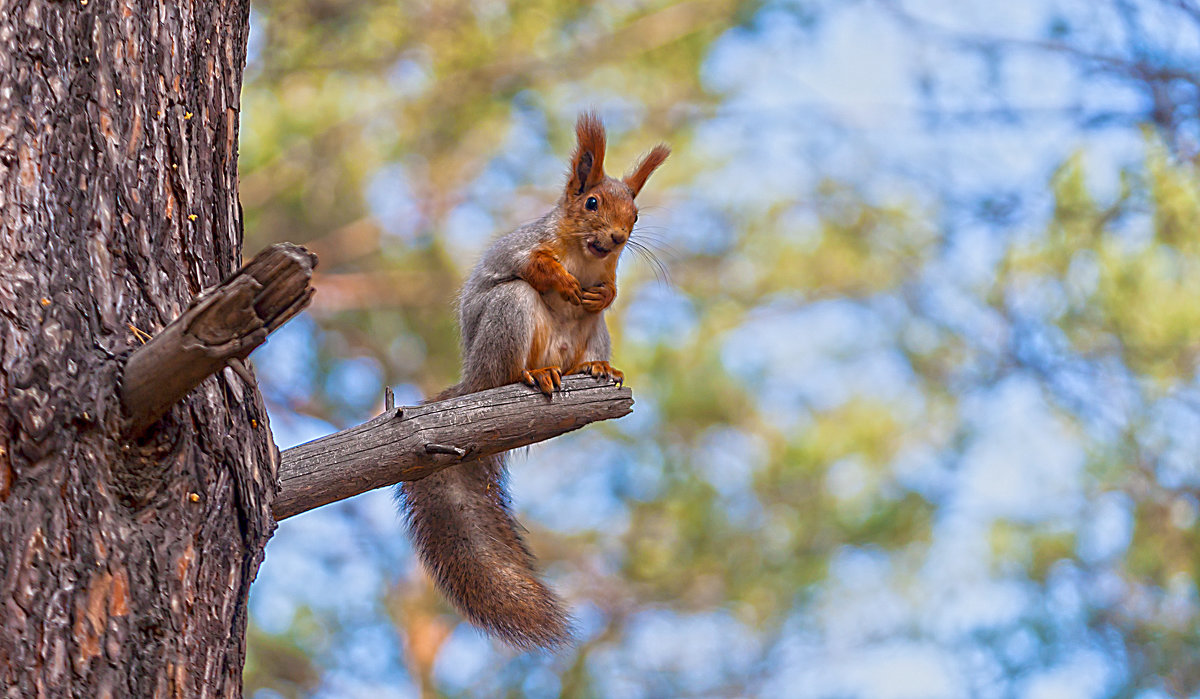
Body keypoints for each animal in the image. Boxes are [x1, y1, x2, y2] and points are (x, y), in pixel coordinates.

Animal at [400, 115, 667, 653]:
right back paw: (533, 374)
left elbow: (609, 291)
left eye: (635, 215)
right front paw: (561, 281)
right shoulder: (523, 247)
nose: (616, 239)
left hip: (593, 334)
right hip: (509, 319)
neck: (585, 256)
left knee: (589, 336)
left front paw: (603, 292)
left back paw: (595, 369)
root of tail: (472, 380)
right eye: (591, 203)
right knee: (515, 330)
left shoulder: (607, 271)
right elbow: (529, 266)